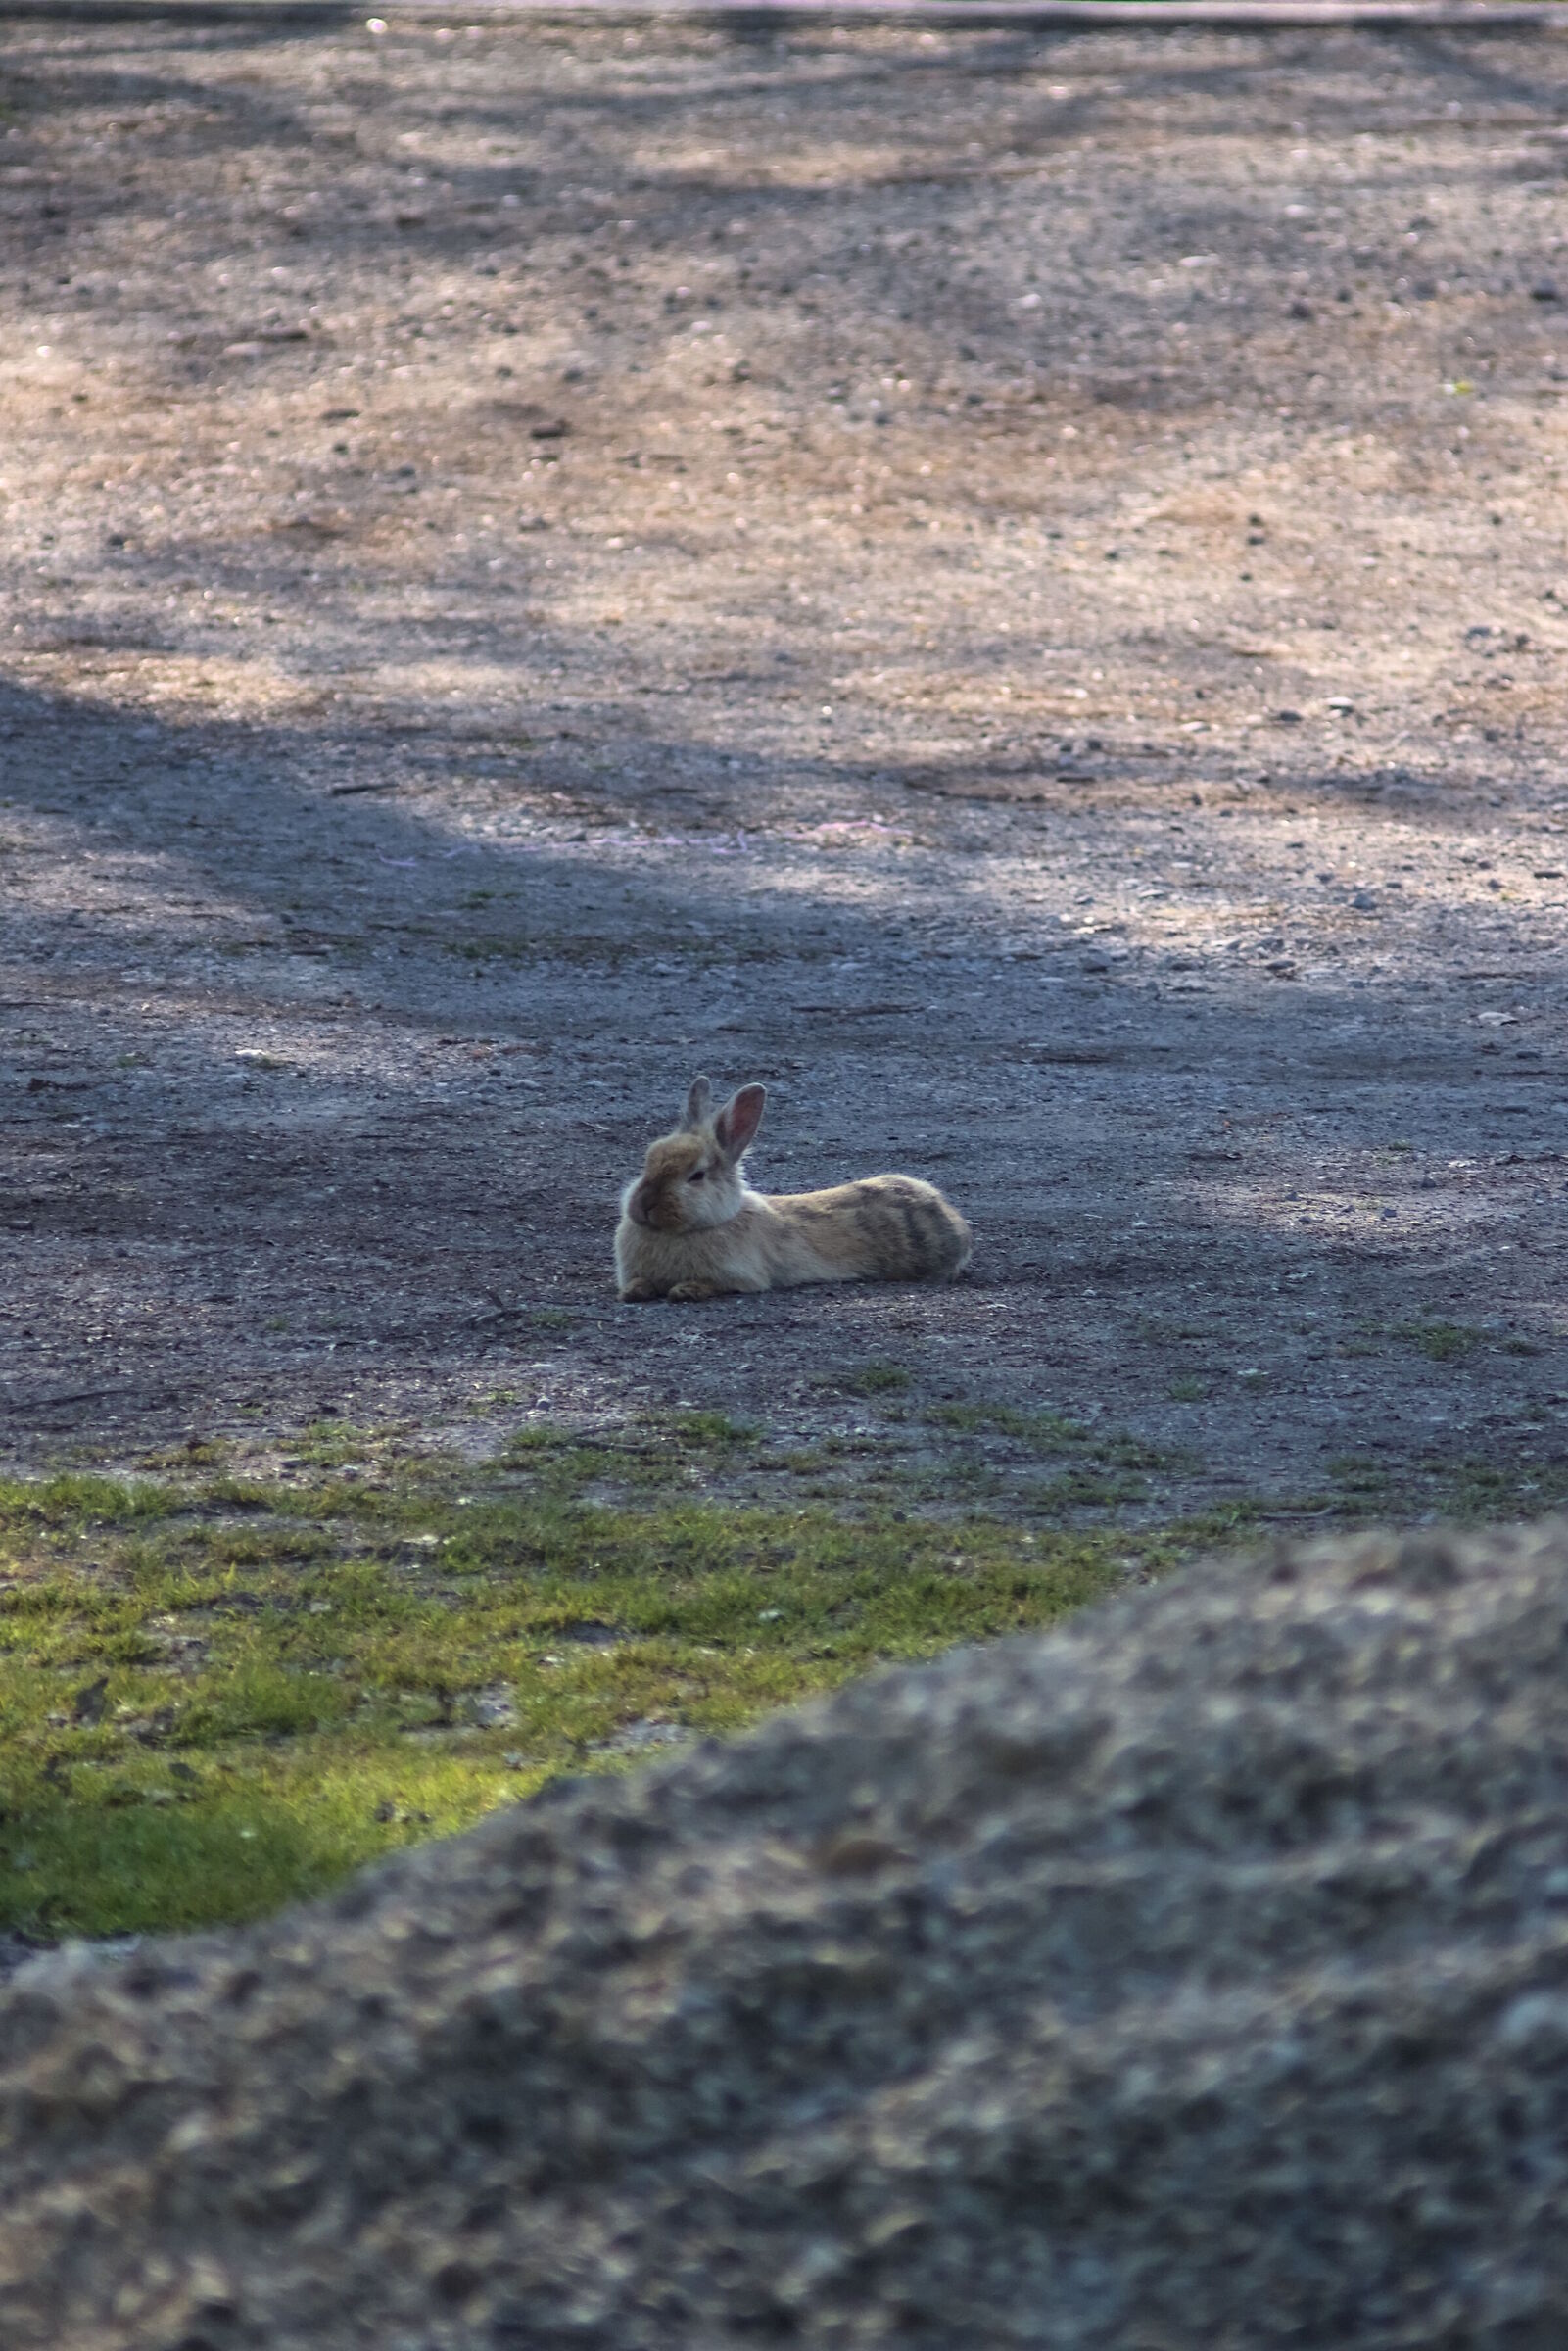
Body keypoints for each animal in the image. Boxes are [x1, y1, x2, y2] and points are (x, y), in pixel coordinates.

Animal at [615, 1076, 972, 1302]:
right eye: (648, 1160)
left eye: (697, 1176)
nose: (644, 1205)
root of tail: (952, 1218)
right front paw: (633, 1292)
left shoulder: (740, 1276)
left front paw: (685, 1291)